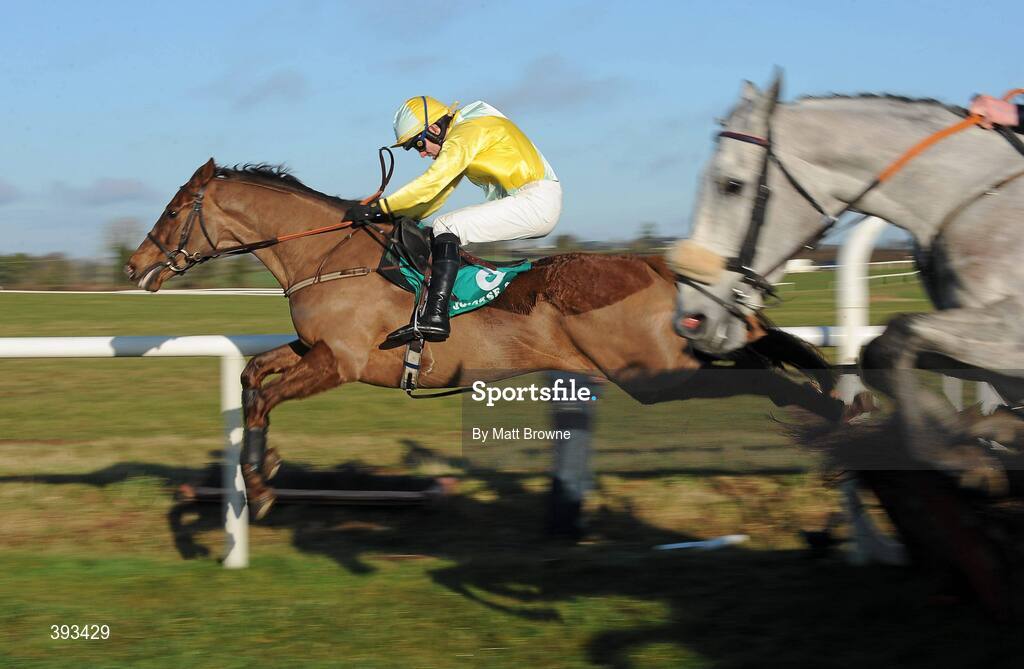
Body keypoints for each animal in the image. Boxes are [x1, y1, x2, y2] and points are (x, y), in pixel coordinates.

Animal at [127, 158, 845, 518]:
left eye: (173, 210)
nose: (135, 266)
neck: (330, 255)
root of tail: (653, 265)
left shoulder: (343, 362)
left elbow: (268, 395)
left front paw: (262, 478)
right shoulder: (316, 349)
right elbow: (253, 380)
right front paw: (265, 467)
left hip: (655, 374)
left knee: (760, 370)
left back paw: (834, 410)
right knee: (757, 351)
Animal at [667, 70, 1024, 483]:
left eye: (731, 184)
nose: (691, 318)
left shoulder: (1013, 329)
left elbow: (894, 339)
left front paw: (959, 450)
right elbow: (878, 354)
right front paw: (973, 436)